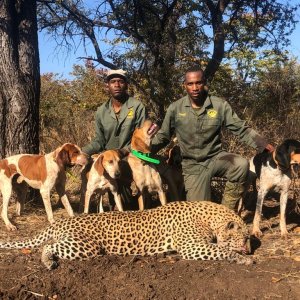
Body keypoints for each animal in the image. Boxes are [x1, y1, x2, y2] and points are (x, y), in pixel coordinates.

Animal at [0, 200, 252, 268]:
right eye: (246, 237)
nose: (250, 248)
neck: (210, 218)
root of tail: (62, 220)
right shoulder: (192, 246)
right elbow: (220, 250)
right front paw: (243, 258)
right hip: (85, 245)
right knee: (47, 246)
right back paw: (48, 262)